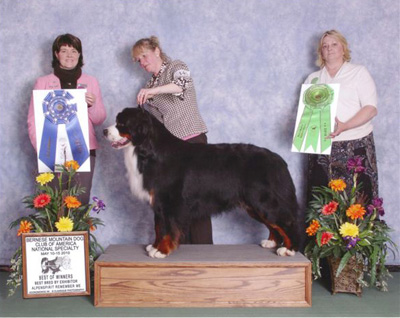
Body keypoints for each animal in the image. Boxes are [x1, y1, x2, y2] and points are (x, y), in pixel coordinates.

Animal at [104, 107, 302, 258]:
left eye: (121, 124)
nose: (104, 131)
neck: (150, 150)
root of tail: (277, 159)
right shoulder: (158, 203)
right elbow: (158, 226)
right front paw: (154, 246)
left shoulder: (169, 202)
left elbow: (167, 228)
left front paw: (162, 251)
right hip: (253, 205)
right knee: (273, 224)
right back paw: (271, 242)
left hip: (262, 200)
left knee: (287, 221)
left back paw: (289, 249)